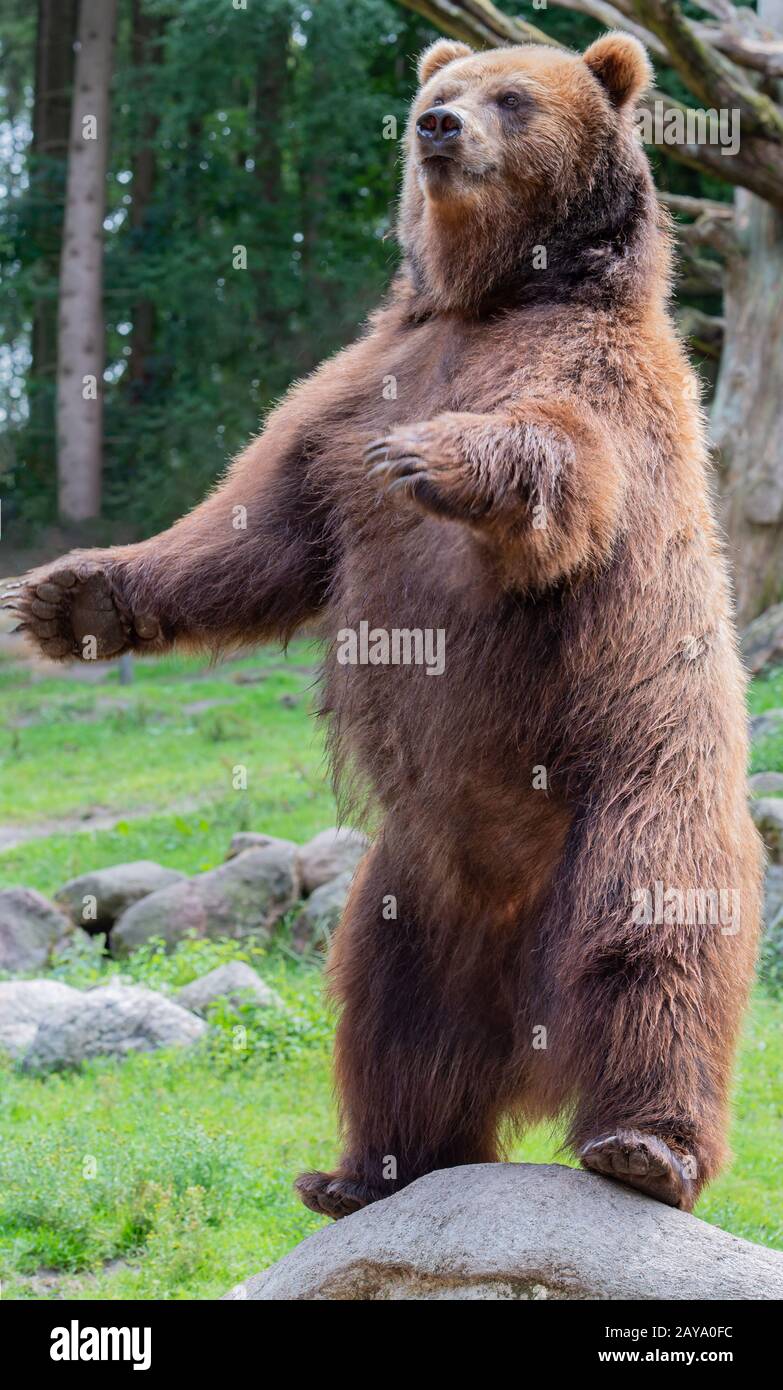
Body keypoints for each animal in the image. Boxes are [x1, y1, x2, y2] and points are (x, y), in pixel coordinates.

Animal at [7, 32, 767, 1217]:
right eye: (439, 89)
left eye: (513, 96)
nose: (436, 127)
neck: (487, 295)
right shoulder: (349, 394)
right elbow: (257, 534)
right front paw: (69, 596)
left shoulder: (597, 381)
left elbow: (559, 461)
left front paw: (435, 458)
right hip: (412, 878)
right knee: (390, 1011)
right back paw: (364, 1168)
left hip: (635, 782)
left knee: (649, 944)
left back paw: (646, 1145)